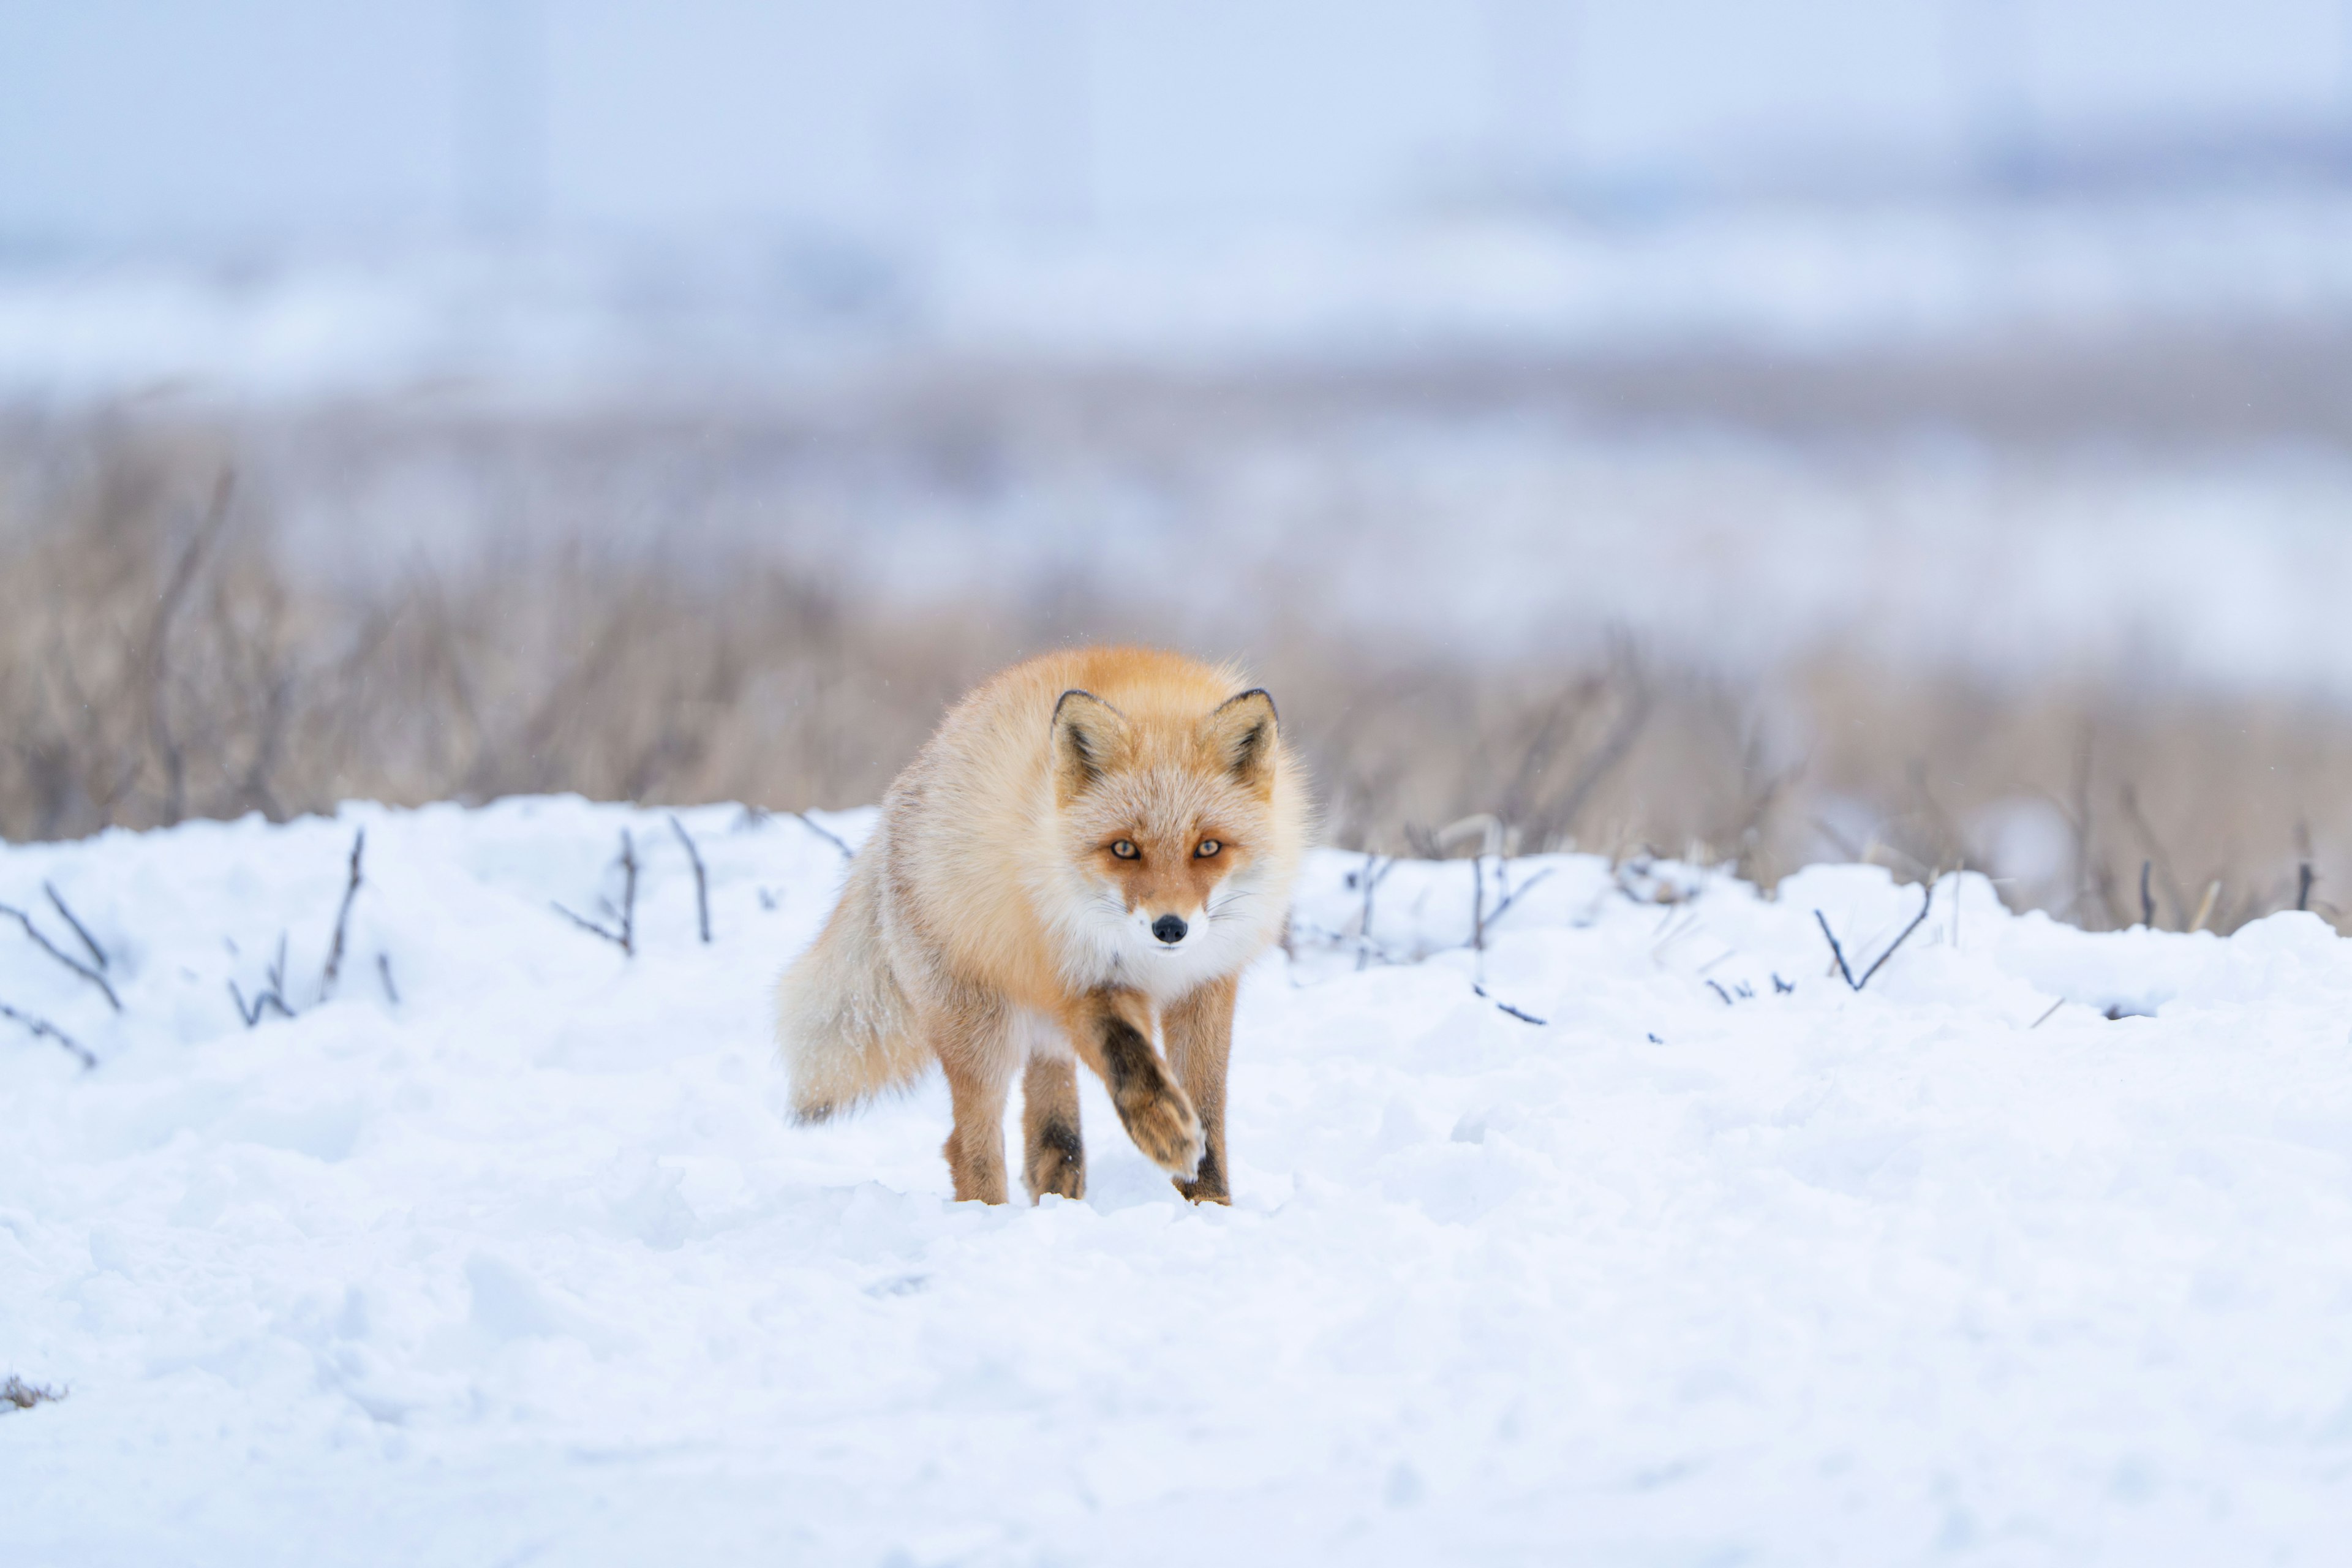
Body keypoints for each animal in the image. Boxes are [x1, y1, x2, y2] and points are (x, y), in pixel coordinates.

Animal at [780, 644, 1317, 1213]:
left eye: (1209, 847)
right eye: (1124, 848)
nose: (1170, 929)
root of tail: (900, 796)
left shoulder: (1207, 984)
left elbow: (1208, 1108)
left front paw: (1209, 1204)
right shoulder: (1079, 980)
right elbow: (1129, 1061)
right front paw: (1166, 1133)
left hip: (1038, 1031)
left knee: (1048, 1128)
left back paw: (1059, 1197)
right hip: (984, 1029)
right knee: (967, 1144)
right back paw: (990, 1218)